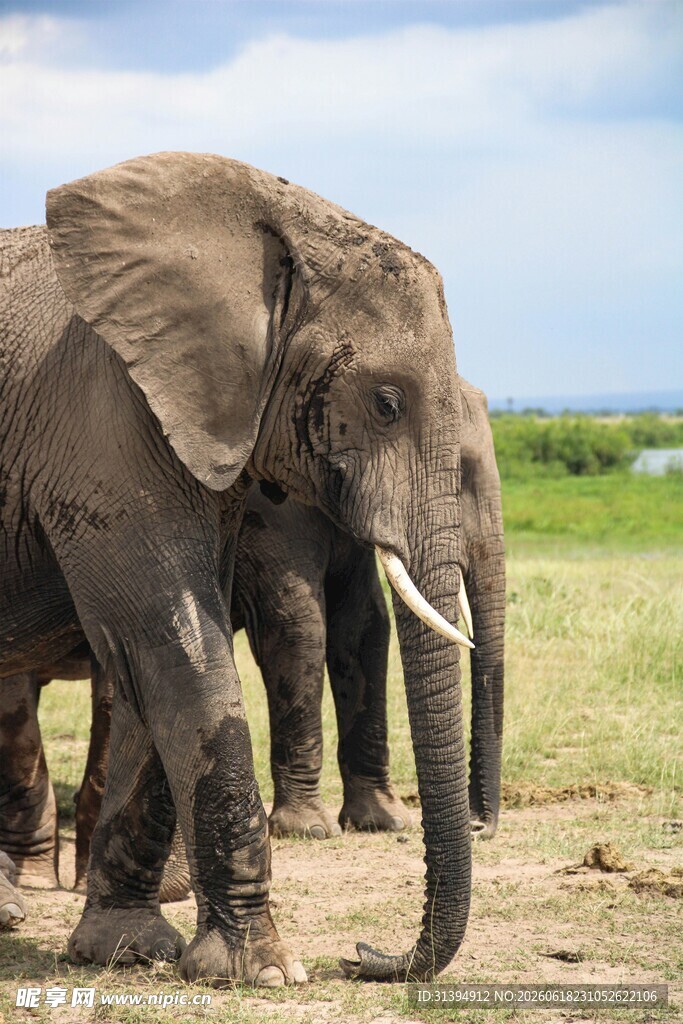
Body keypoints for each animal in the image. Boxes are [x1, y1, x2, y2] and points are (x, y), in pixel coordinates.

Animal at [0, 152, 473, 984]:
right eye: (385, 403)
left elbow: (153, 663)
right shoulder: (103, 419)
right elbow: (174, 645)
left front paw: (124, 950)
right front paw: (264, 971)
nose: (364, 957)